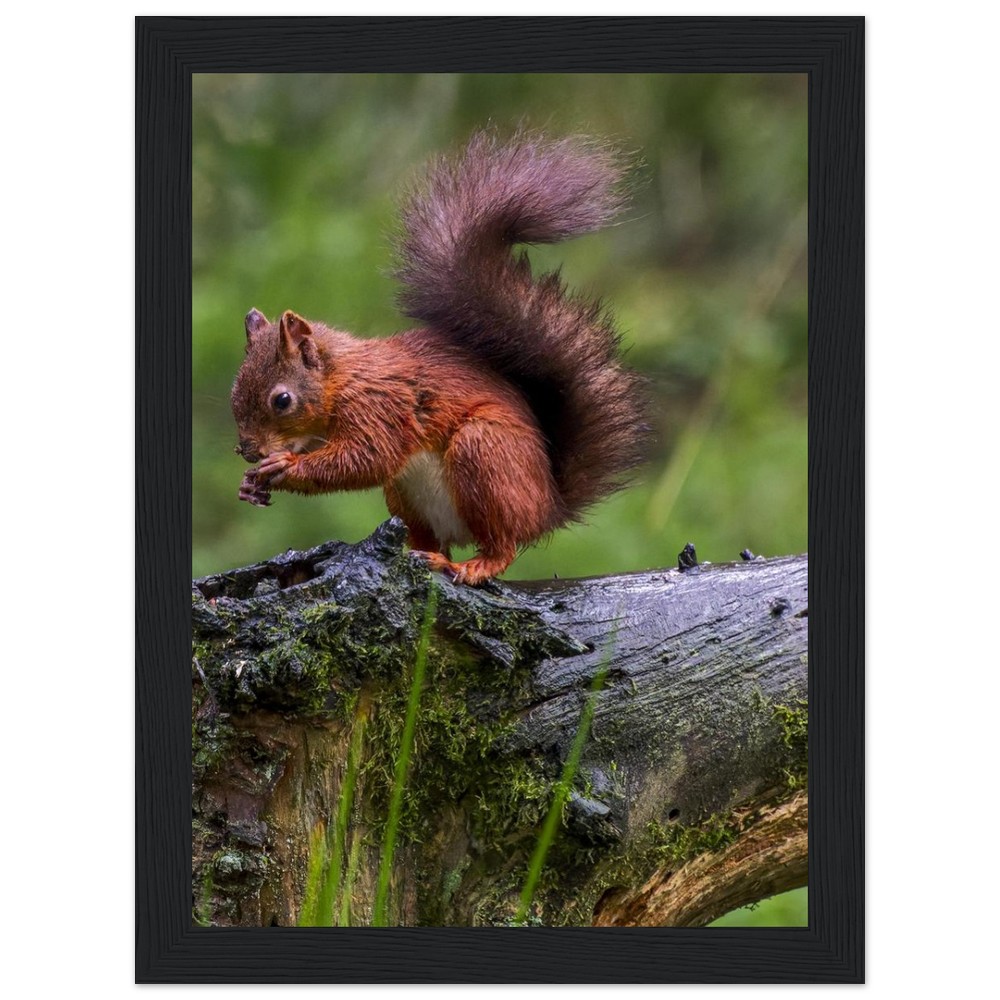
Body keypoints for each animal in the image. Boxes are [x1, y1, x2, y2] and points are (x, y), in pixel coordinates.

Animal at [231, 130, 649, 585]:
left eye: (282, 400)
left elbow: (365, 458)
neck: (341, 378)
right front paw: (250, 484)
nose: (248, 450)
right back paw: (423, 554)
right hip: (405, 495)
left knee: (502, 544)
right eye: (234, 392)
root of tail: (547, 508)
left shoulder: (379, 406)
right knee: (430, 537)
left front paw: (284, 467)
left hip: (485, 455)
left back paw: (473, 564)